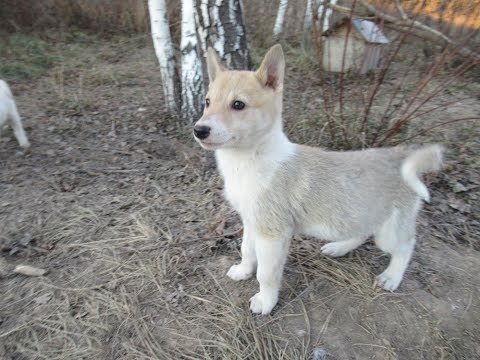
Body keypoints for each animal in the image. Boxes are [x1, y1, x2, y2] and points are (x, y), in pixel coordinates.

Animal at [193, 45, 444, 316]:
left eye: (238, 104)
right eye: (207, 102)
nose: (199, 130)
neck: (250, 159)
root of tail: (402, 155)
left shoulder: (273, 234)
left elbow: (267, 274)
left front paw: (265, 302)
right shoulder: (252, 222)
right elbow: (247, 251)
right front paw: (242, 271)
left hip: (389, 231)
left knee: (406, 245)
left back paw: (391, 277)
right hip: (363, 213)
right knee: (363, 232)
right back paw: (339, 247)